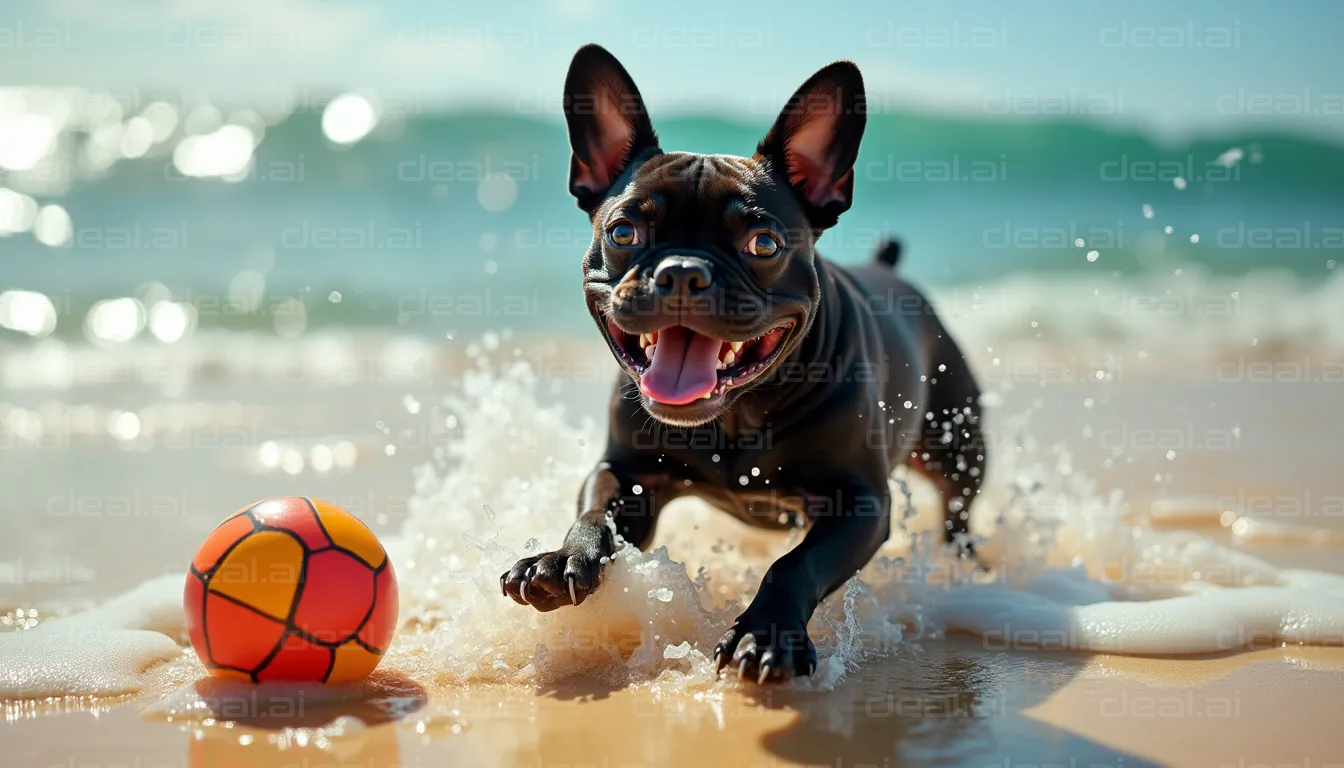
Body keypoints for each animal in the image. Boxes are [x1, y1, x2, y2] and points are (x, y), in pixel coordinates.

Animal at [505, 45, 989, 685]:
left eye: (764, 243)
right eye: (623, 231)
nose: (682, 271)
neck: (737, 413)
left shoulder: (859, 503)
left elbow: (793, 564)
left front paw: (767, 633)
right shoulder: (627, 475)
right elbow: (594, 513)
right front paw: (561, 558)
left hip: (957, 443)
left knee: (958, 507)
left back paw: (965, 561)